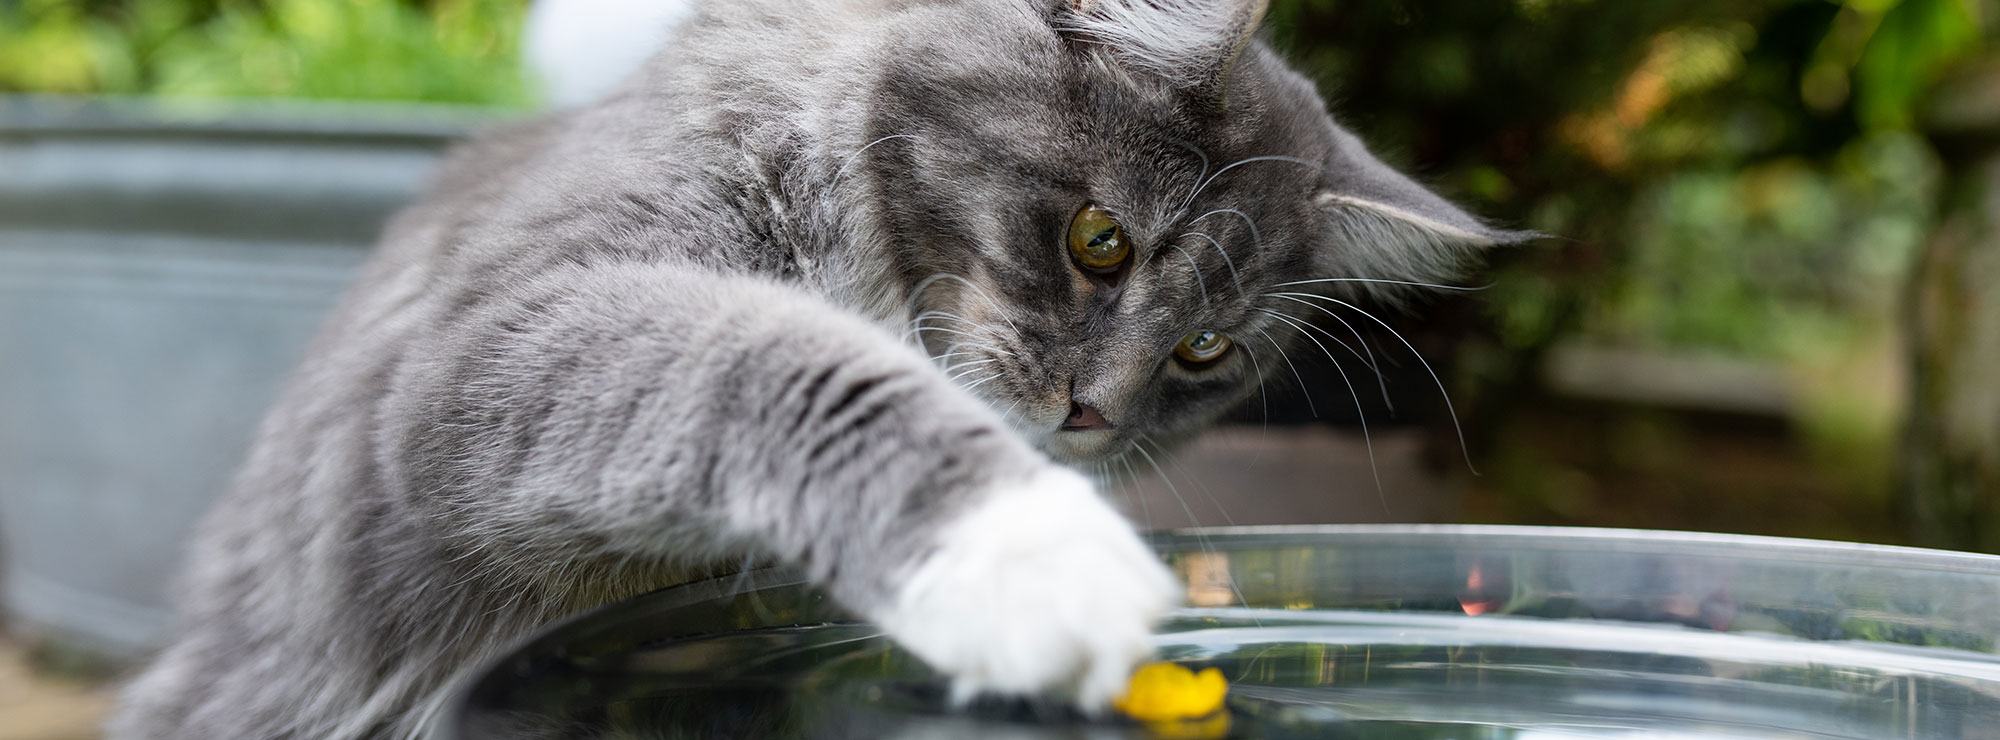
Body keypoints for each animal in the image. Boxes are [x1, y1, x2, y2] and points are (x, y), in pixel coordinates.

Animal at [109, 1, 1512, 740]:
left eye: (1203, 351)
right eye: (1098, 239)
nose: (1091, 414)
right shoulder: (500, 339)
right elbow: (774, 357)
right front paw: (1028, 553)